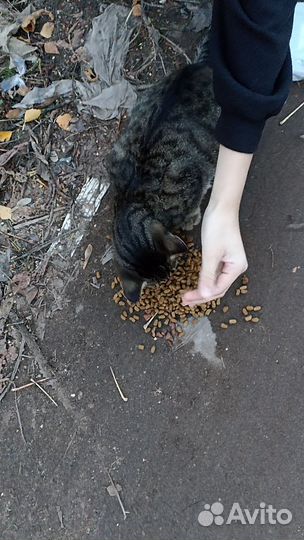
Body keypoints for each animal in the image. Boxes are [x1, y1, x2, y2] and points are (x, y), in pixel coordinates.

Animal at [109, 62, 218, 304]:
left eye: (171, 266)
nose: (170, 274)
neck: (133, 199)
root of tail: (197, 67)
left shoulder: (191, 177)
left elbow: (193, 200)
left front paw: (191, 218)